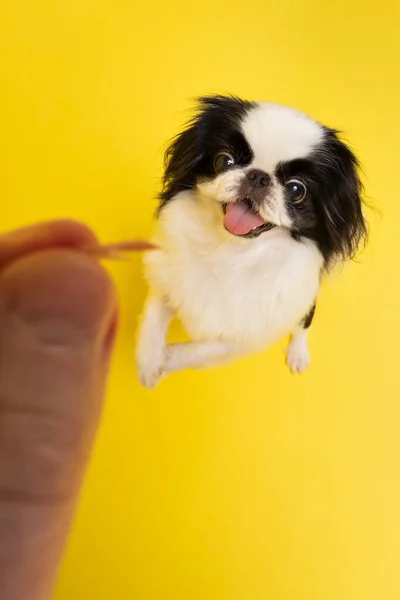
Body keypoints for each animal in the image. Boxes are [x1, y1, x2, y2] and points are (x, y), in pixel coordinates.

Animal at [136, 94, 368, 390]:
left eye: (296, 190)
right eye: (224, 161)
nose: (258, 176)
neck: (229, 250)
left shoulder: (253, 331)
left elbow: (208, 349)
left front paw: (169, 359)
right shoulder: (165, 277)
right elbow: (152, 318)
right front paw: (149, 362)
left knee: (302, 325)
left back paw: (298, 354)